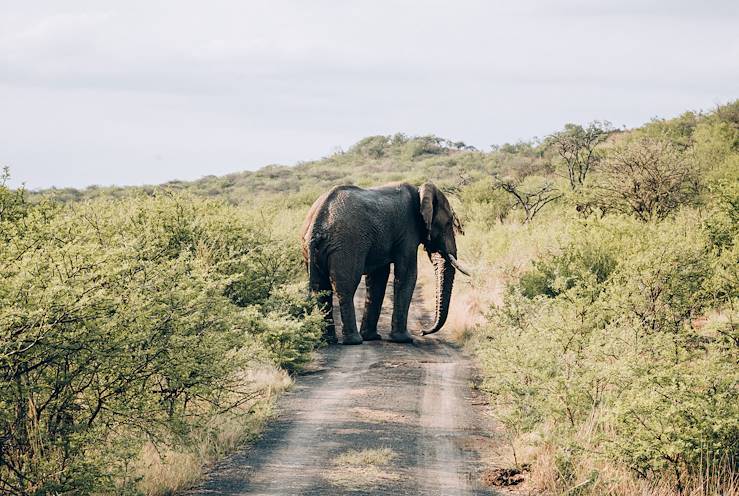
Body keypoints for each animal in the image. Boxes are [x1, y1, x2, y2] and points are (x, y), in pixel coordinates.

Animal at [302, 182, 472, 344]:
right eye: (449, 223)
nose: (422, 332)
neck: (420, 192)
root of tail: (317, 222)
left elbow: (378, 278)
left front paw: (372, 337)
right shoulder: (408, 231)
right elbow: (408, 275)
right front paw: (404, 339)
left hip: (312, 248)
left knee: (321, 289)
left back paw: (329, 340)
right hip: (347, 244)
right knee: (346, 287)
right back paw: (354, 341)